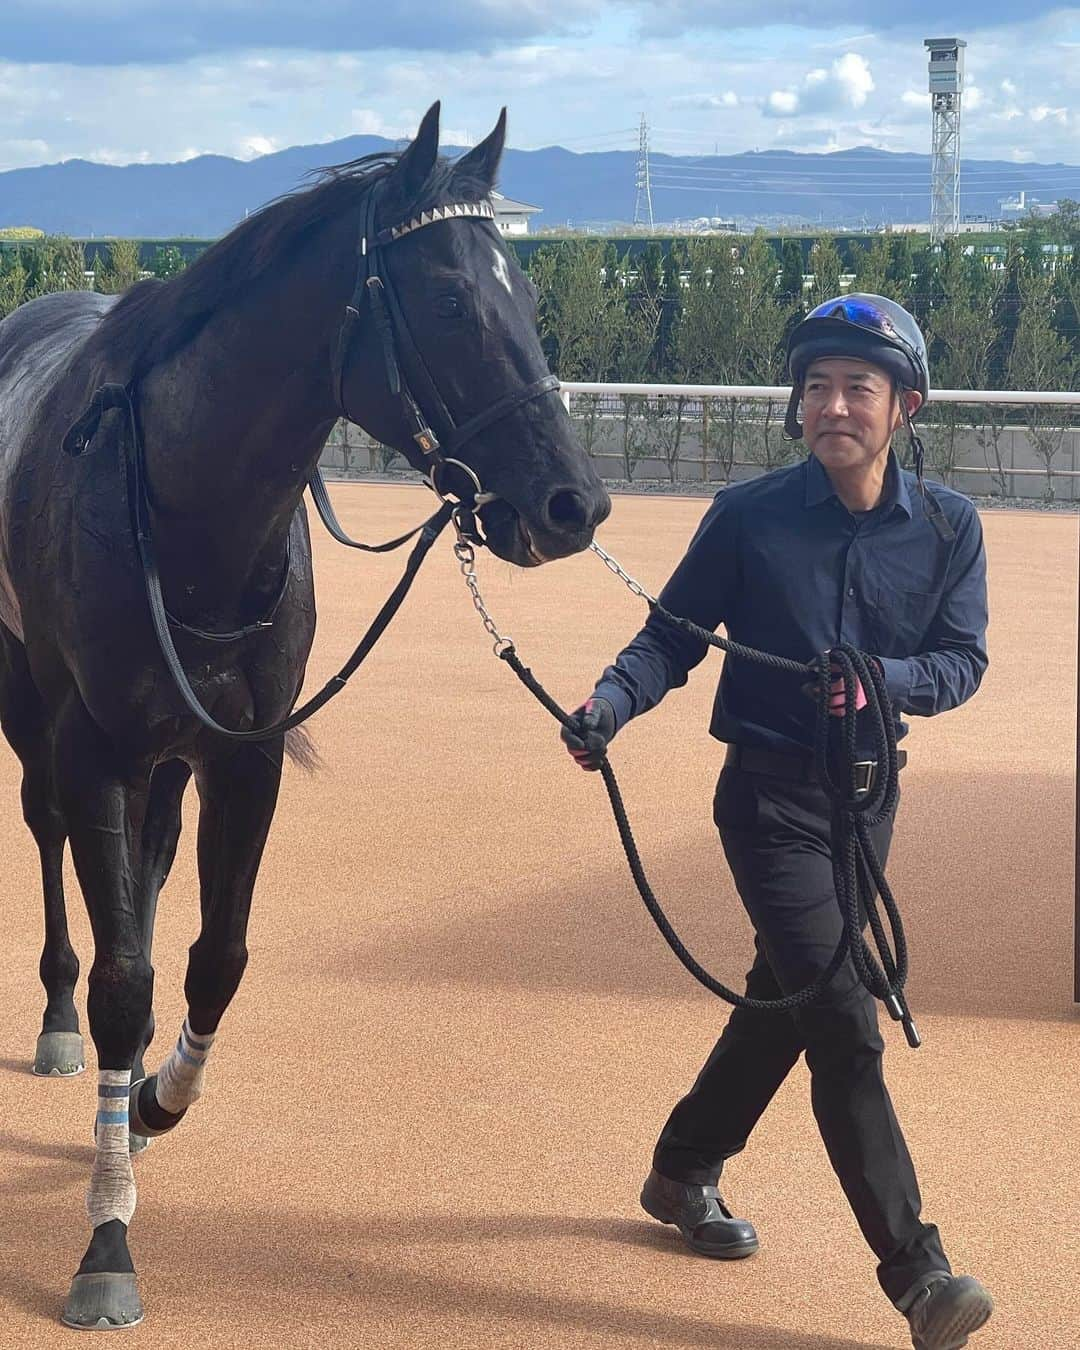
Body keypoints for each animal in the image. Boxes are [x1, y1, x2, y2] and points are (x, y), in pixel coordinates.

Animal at [0, 105, 607, 1328]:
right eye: (450, 300)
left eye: (526, 294)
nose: (574, 504)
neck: (188, 515)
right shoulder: (94, 745)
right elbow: (124, 978)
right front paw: (106, 1241)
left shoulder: (247, 751)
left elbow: (217, 955)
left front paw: (158, 1099)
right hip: (26, 696)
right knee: (46, 831)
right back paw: (58, 1019)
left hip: (172, 752)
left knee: (153, 859)